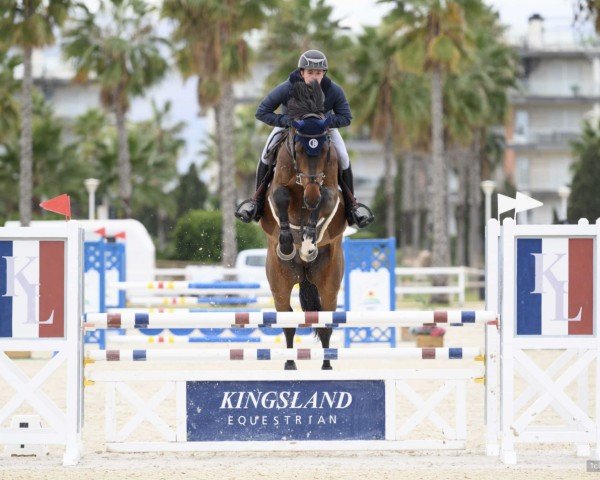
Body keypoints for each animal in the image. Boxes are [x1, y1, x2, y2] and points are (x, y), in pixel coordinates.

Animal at [258, 79, 346, 372]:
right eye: (297, 149)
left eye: (325, 151)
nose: (310, 195)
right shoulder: (277, 191)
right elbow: (282, 198)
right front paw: (288, 242)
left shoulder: (328, 193)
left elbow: (324, 202)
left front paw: (308, 240)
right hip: (280, 279)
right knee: (286, 319)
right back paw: (289, 364)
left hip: (329, 278)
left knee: (326, 319)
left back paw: (327, 365)